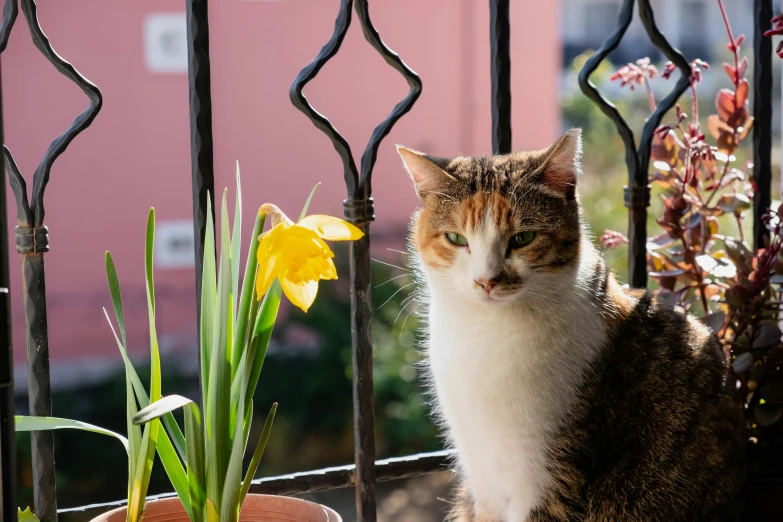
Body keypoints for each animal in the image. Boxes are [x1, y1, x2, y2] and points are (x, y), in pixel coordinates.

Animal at [398, 127, 748, 520]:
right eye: (456, 238)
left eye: (523, 238)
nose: (486, 281)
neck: (485, 333)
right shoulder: (481, 476)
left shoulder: (551, 477)